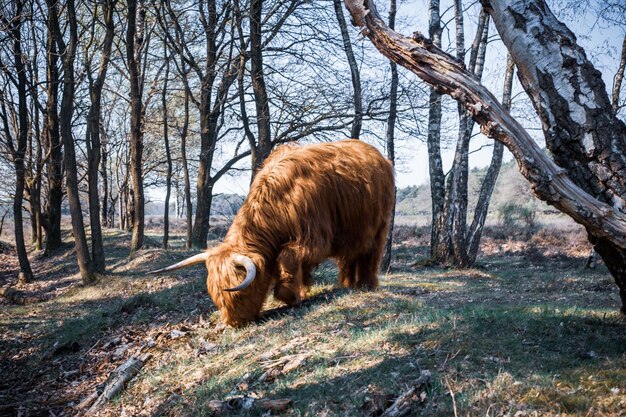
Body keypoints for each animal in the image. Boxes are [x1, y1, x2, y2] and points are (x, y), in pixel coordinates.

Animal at [151, 140, 392, 324]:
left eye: (241, 293)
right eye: (215, 295)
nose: (233, 323)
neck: (278, 201)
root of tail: (376, 153)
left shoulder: (314, 237)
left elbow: (287, 257)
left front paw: (290, 297)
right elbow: (293, 267)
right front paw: (300, 291)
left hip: (378, 227)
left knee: (371, 255)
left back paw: (367, 285)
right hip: (352, 234)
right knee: (349, 257)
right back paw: (348, 284)